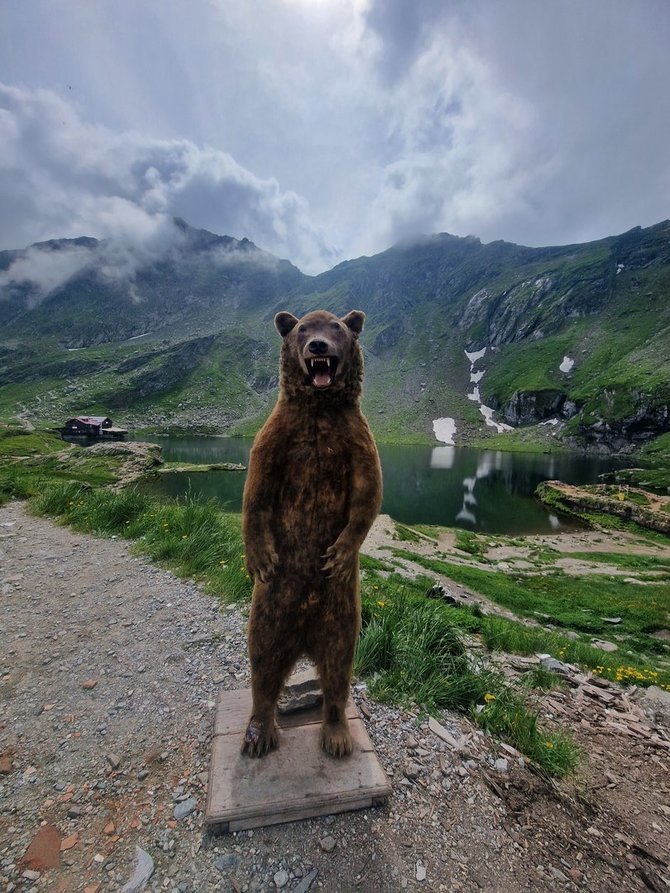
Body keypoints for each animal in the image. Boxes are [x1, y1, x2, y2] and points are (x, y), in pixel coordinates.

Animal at [244, 310, 384, 756]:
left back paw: (337, 735)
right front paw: (259, 557)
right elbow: (257, 489)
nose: (317, 346)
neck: (319, 408)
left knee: (339, 662)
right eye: (303, 328)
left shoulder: (356, 439)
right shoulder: (278, 435)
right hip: (275, 602)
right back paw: (259, 731)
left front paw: (339, 552)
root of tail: (305, 639)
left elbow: (368, 493)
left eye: (336, 327)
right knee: (264, 654)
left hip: (340, 607)